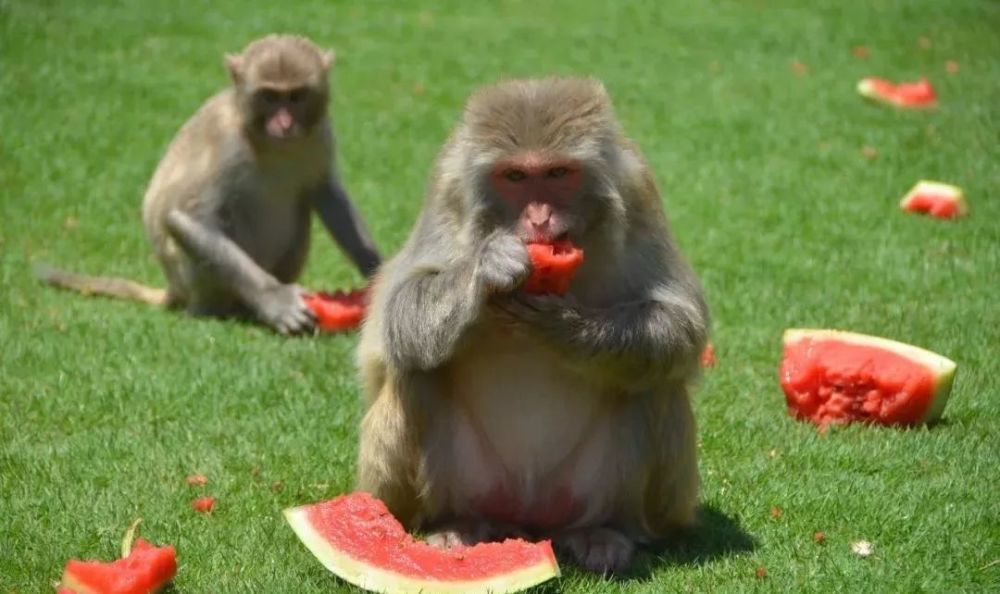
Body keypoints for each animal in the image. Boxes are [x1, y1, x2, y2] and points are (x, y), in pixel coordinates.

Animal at [37, 34, 380, 336]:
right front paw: (275, 300)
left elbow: (326, 194)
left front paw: (378, 273)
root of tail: (175, 289)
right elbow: (184, 215)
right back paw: (229, 311)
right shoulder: (226, 144)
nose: (284, 123)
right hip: (190, 276)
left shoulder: (319, 133)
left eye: (296, 96)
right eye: (269, 96)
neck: (265, 141)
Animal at [356, 76, 708, 572]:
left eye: (558, 173)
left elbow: (680, 322)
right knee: (416, 370)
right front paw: (486, 267)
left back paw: (609, 531)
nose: (539, 217)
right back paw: (456, 525)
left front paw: (566, 327)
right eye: (516, 177)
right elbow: (398, 311)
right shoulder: (447, 190)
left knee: (653, 378)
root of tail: (529, 517)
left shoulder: (638, 189)